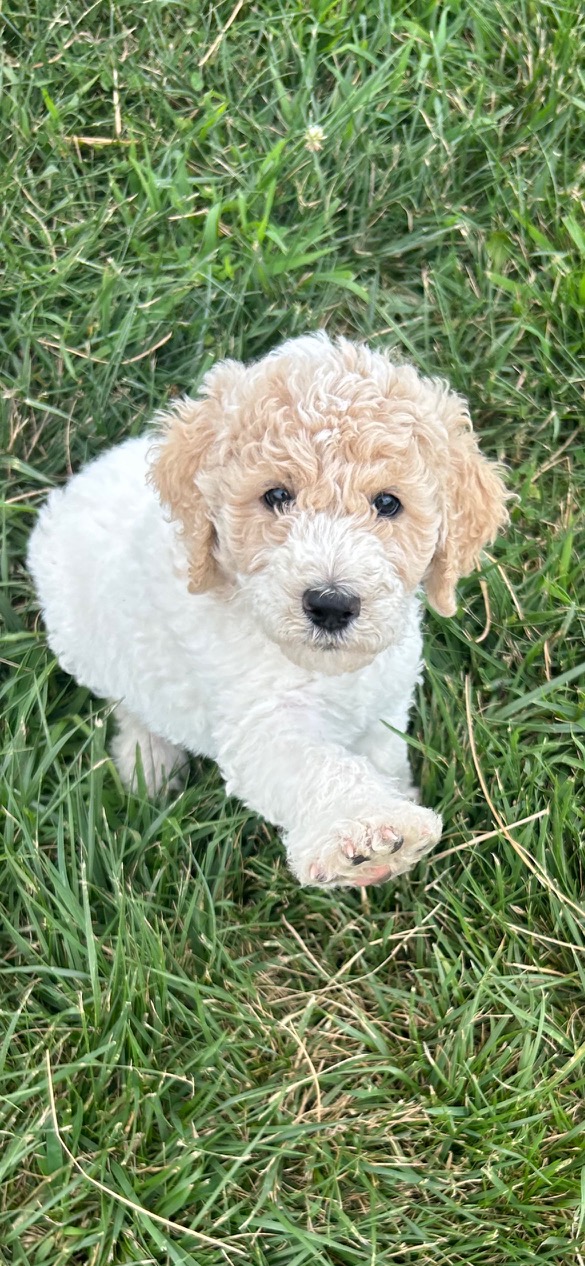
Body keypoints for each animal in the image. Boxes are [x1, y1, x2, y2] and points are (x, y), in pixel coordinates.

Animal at [27, 336, 503, 891]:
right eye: (276, 495)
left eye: (388, 503)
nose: (331, 605)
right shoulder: (261, 726)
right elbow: (317, 765)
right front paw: (366, 828)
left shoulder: (385, 701)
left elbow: (382, 752)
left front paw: (392, 804)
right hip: (84, 641)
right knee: (128, 703)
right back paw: (150, 762)